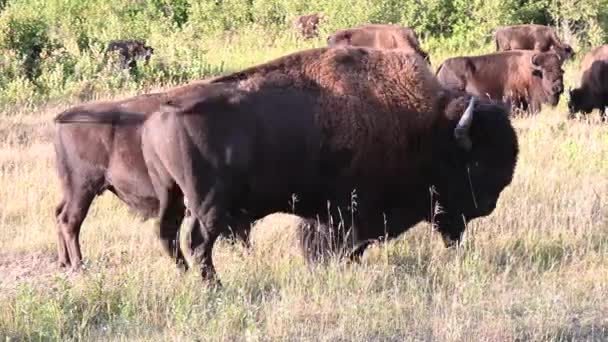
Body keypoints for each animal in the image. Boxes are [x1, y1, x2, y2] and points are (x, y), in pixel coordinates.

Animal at [141, 48, 516, 284]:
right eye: (477, 162)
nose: (488, 204)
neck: (429, 129)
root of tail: (162, 114)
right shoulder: (347, 213)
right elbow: (339, 244)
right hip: (208, 206)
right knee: (198, 242)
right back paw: (214, 286)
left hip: (171, 196)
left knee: (168, 236)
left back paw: (187, 278)